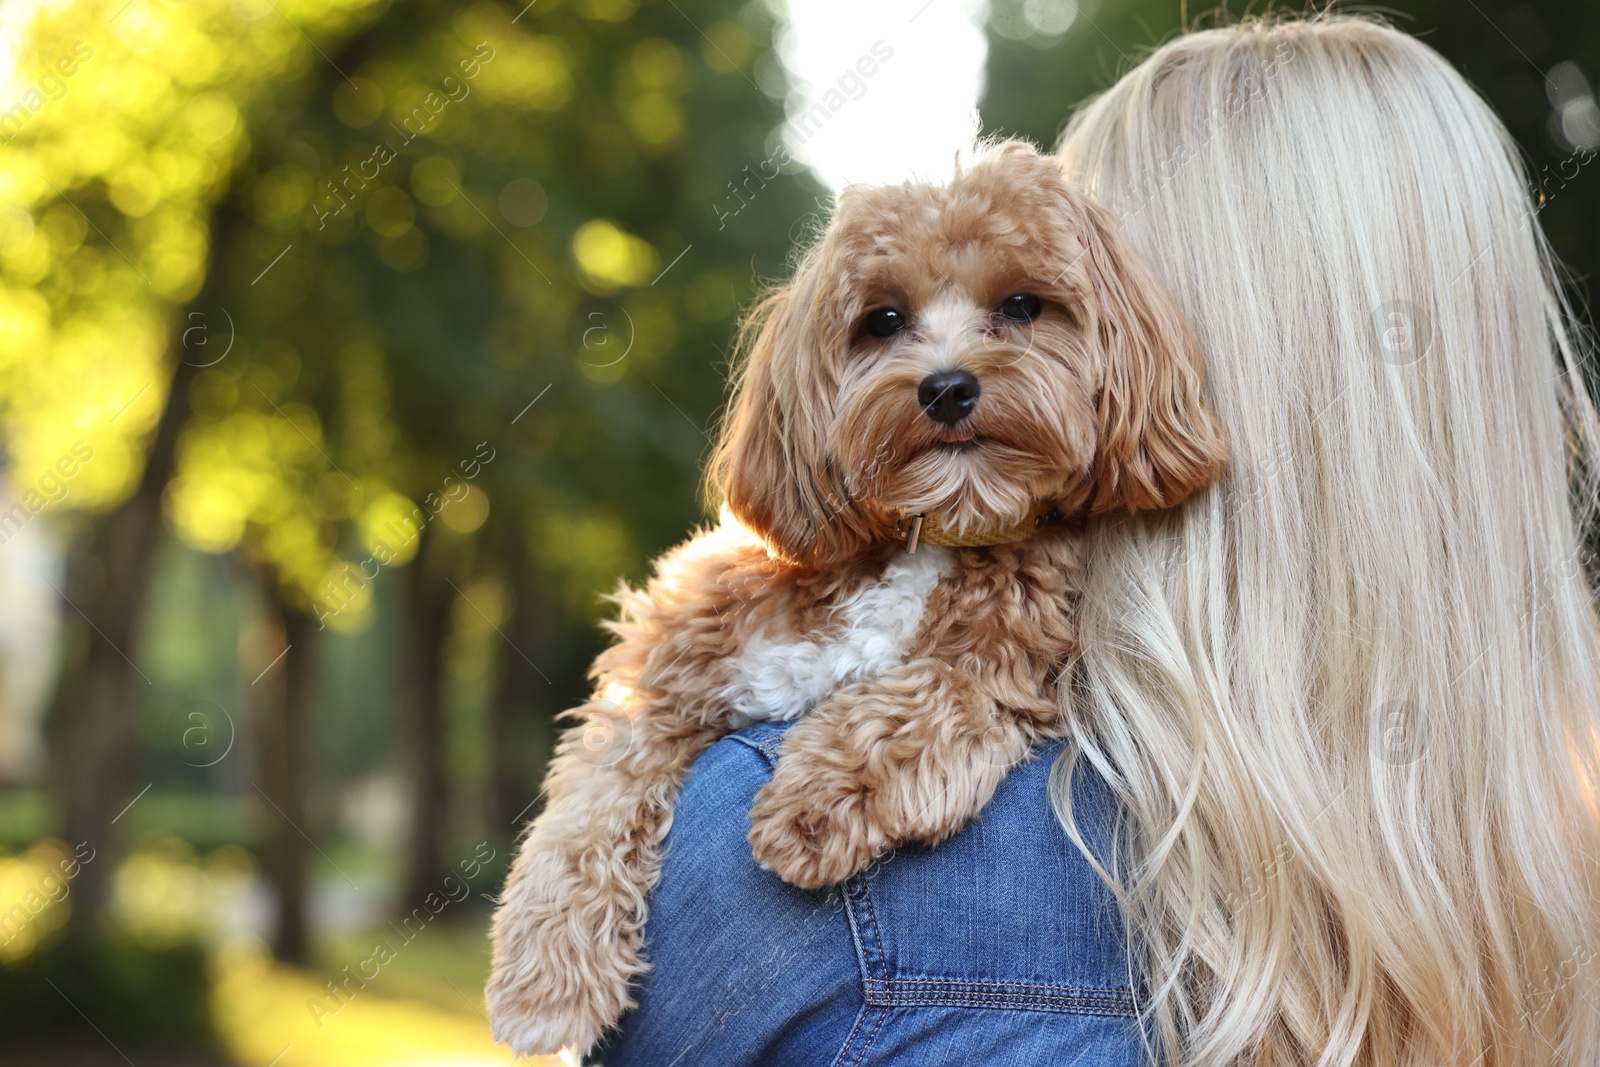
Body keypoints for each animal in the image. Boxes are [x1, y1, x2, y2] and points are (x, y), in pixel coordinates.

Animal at [483, 137, 1222, 1055]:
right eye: (884, 319)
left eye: (1021, 305)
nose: (946, 387)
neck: (929, 530)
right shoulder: (676, 662)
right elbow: (595, 793)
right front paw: (544, 972)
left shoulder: (1010, 657)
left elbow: (921, 699)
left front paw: (814, 804)